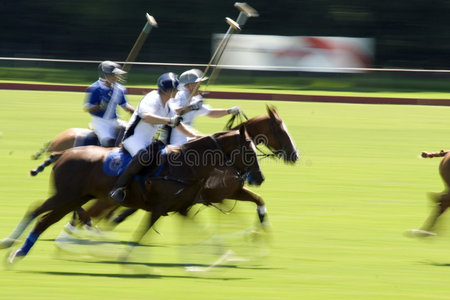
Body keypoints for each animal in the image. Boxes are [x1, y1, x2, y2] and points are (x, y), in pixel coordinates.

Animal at [0, 127, 264, 264]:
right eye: (249, 151)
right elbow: (142, 231)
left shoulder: (182, 208)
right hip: (67, 196)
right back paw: (15, 247)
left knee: (46, 217)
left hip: (76, 198)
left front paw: (225, 255)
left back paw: (19, 248)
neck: (186, 165)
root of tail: (62, 153)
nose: (259, 178)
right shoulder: (159, 208)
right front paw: (125, 256)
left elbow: (208, 232)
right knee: (37, 212)